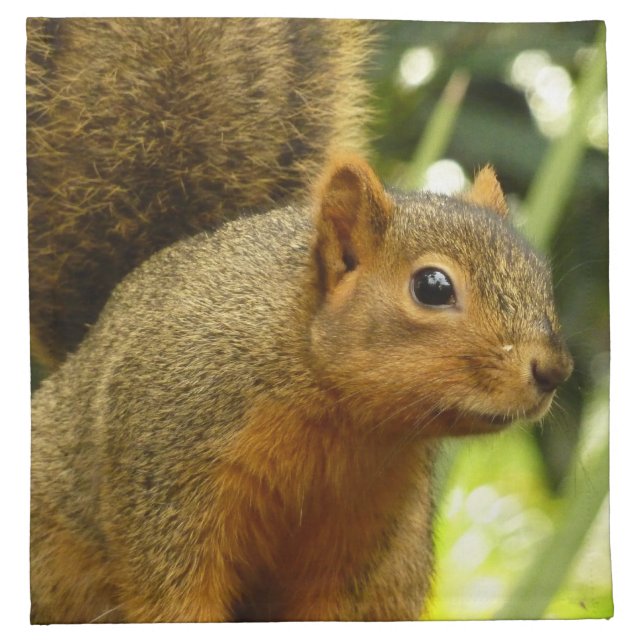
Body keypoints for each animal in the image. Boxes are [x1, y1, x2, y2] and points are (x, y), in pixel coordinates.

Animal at [30, 153, 573, 623]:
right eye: (432, 287)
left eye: (542, 279)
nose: (555, 370)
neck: (342, 420)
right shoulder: (169, 469)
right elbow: (173, 595)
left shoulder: (365, 524)